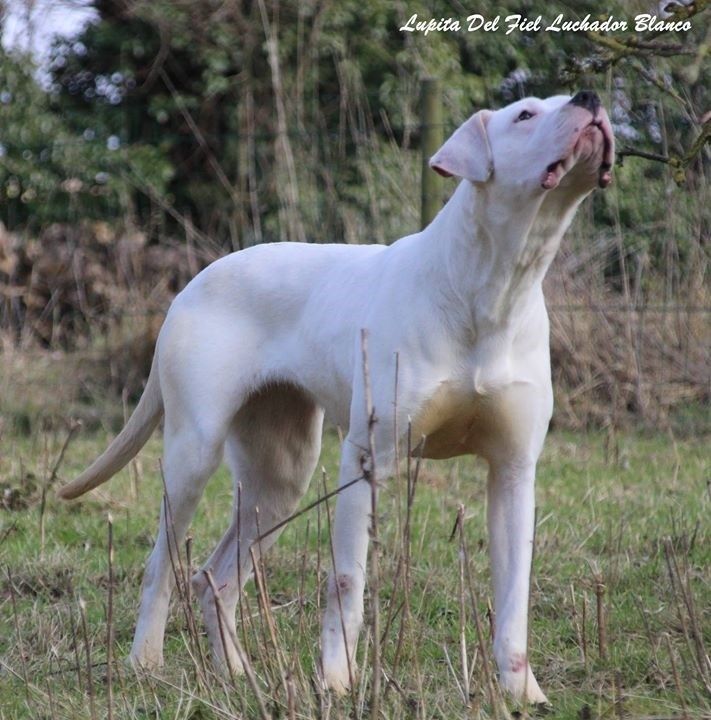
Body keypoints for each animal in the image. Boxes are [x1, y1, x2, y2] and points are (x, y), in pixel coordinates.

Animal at [59, 91, 612, 704]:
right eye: (525, 115)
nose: (590, 98)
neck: (494, 284)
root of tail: (193, 282)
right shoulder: (367, 459)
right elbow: (347, 580)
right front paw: (336, 681)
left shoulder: (514, 472)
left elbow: (514, 595)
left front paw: (522, 693)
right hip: (192, 457)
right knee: (162, 564)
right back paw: (145, 664)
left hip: (279, 478)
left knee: (214, 577)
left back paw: (238, 675)